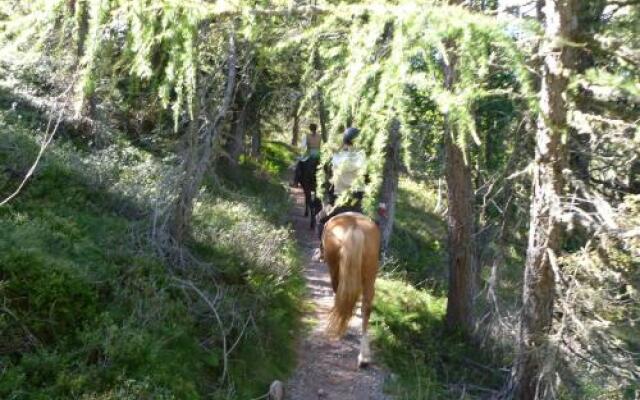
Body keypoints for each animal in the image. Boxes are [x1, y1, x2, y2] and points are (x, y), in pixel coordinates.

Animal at [322, 212, 378, 366]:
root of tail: (355, 227)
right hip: (370, 277)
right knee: (366, 309)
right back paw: (364, 357)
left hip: (335, 269)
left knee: (341, 295)